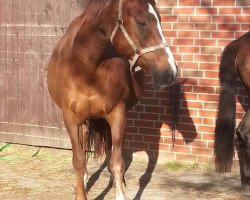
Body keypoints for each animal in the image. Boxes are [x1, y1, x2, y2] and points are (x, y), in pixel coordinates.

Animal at [47, 0, 179, 199]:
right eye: (142, 22)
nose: (170, 72)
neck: (86, 67)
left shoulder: (118, 115)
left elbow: (117, 161)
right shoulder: (70, 119)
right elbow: (78, 160)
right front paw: (80, 191)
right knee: (84, 145)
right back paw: (84, 181)